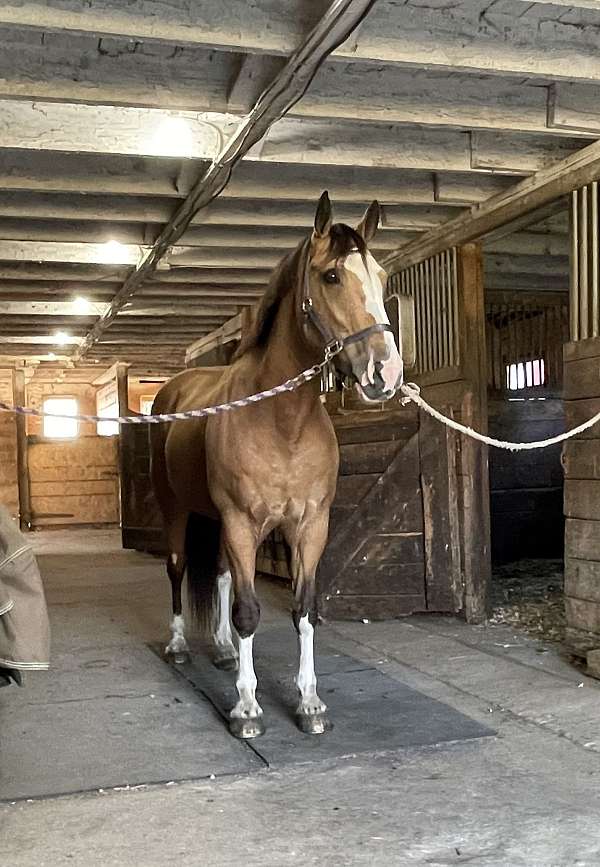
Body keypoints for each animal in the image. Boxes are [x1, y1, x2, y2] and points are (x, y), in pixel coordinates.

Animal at [151, 191, 403, 739]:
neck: (282, 422)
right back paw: (179, 646)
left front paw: (309, 702)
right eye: (331, 276)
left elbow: (302, 608)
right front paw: (247, 708)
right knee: (178, 569)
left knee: (220, 573)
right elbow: (248, 611)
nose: (386, 372)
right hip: (176, 508)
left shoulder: (310, 526)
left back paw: (223, 650)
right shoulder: (241, 523)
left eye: (382, 278)